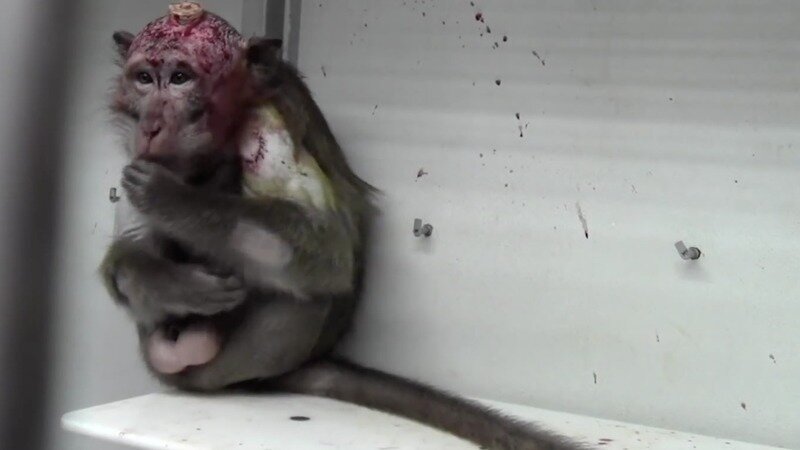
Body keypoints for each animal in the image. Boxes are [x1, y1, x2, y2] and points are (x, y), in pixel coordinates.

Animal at [100, 3, 585, 449]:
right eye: (144, 78)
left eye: (181, 77)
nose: (151, 124)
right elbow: (130, 246)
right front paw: (176, 285)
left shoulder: (265, 126)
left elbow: (327, 249)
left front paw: (170, 198)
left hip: (238, 361)